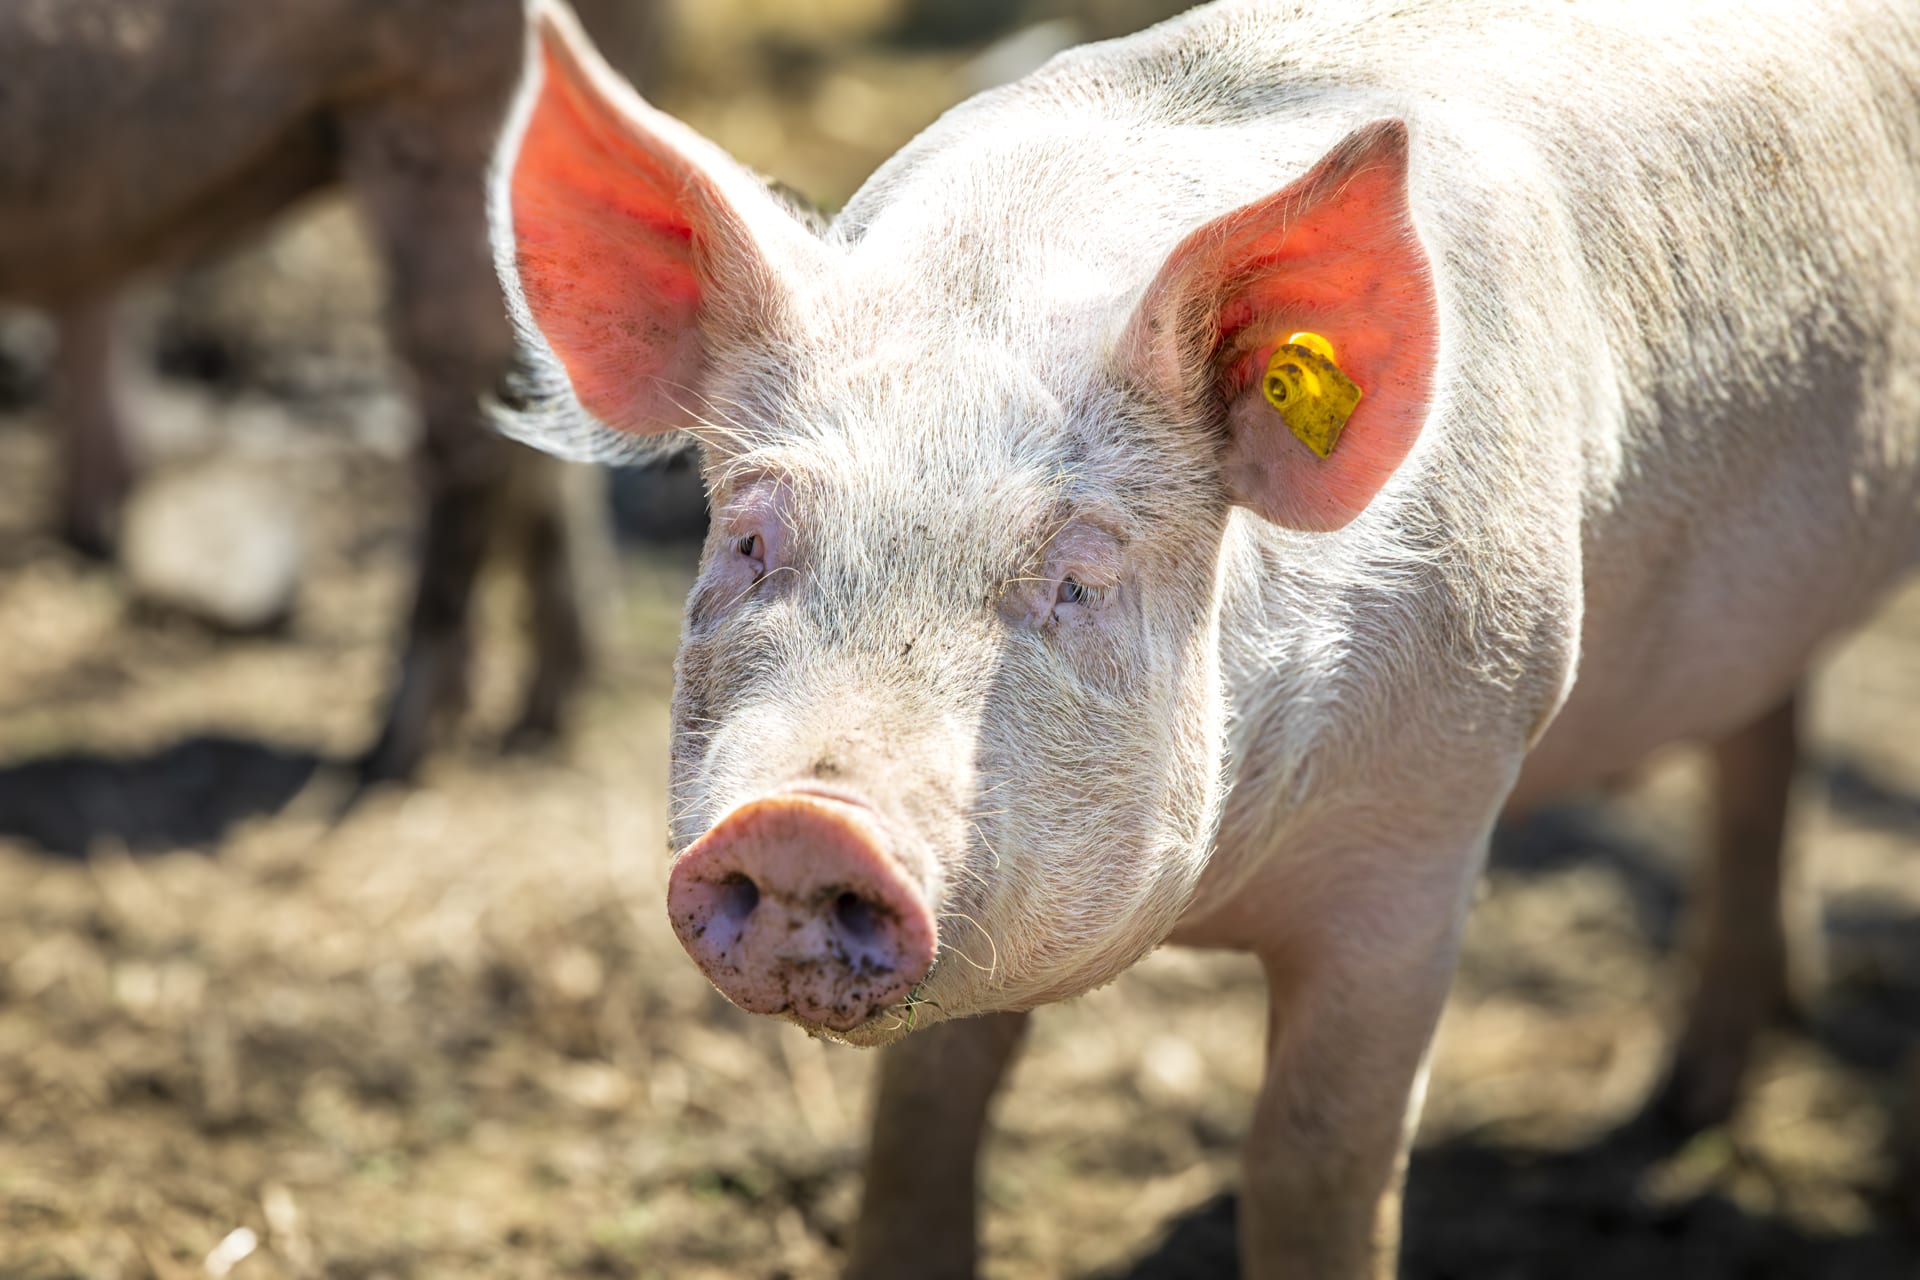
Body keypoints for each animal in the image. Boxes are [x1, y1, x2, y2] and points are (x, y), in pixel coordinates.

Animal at [489, 1, 1920, 1275]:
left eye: (1077, 579)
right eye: (747, 538)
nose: (800, 822)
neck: (1217, 902)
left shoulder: (1436, 818)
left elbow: (1316, 1161)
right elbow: (921, 1132)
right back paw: (1689, 1097)